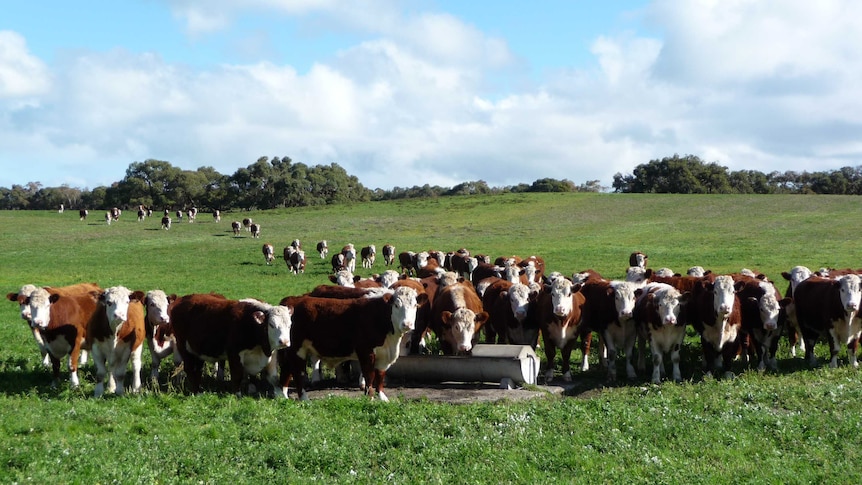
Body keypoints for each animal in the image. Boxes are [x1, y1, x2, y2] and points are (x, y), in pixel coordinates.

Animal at [280, 284, 428, 400]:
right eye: (396, 305)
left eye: (415, 305)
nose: (407, 324)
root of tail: (292, 300)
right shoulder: (366, 351)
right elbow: (369, 375)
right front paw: (370, 398)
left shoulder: (384, 354)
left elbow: (380, 376)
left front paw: (382, 397)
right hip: (297, 349)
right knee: (297, 373)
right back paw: (304, 398)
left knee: (286, 370)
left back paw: (283, 396)